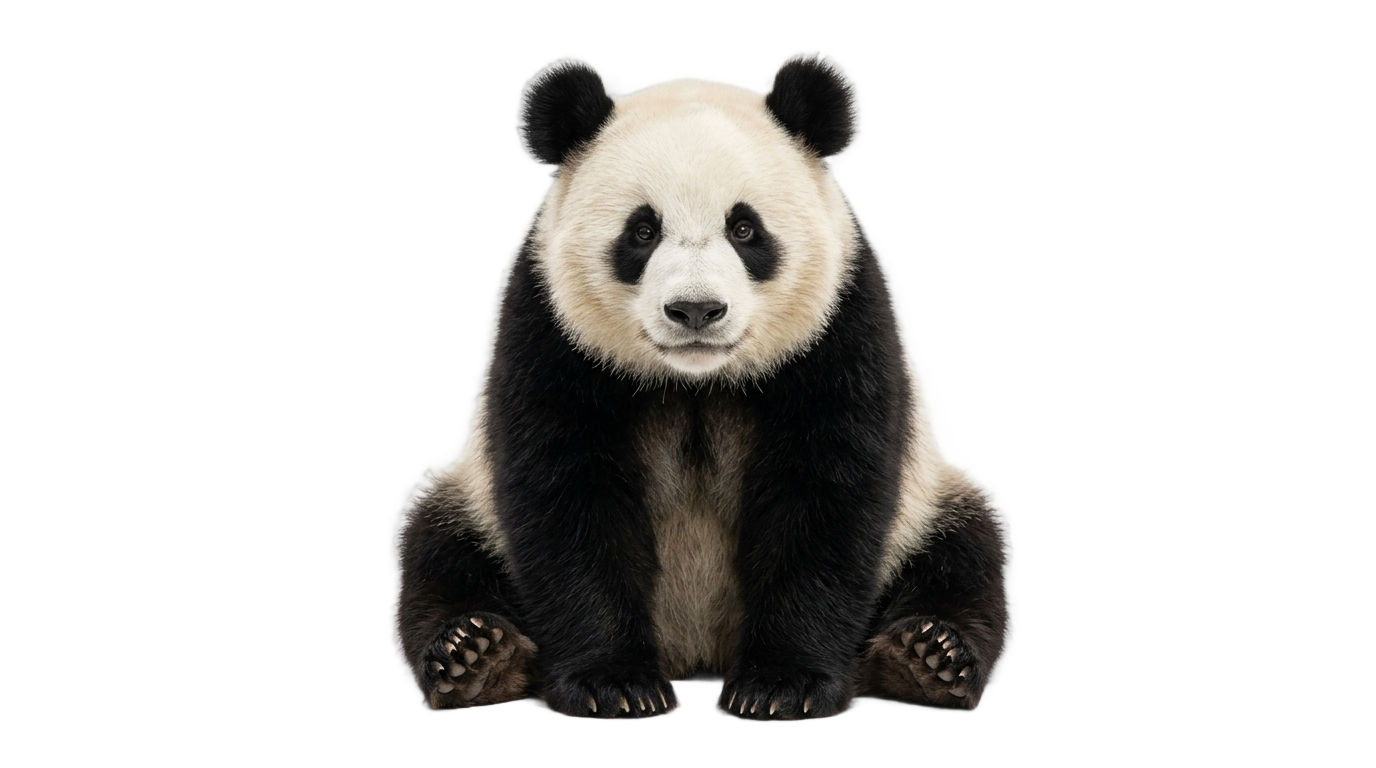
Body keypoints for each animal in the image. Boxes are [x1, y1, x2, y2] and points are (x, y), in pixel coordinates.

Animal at [395, 55, 1007, 718]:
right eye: (642, 231)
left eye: (744, 228)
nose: (695, 310)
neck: (696, 382)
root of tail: (693, 653)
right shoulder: (550, 333)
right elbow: (567, 497)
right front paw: (614, 685)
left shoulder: (838, 327)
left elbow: (826, 494)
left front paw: (779, 686)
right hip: (468, 500)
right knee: (438, 553)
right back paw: (476, 655)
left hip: (928, 502)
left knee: (964, 556)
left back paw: (926, 656)